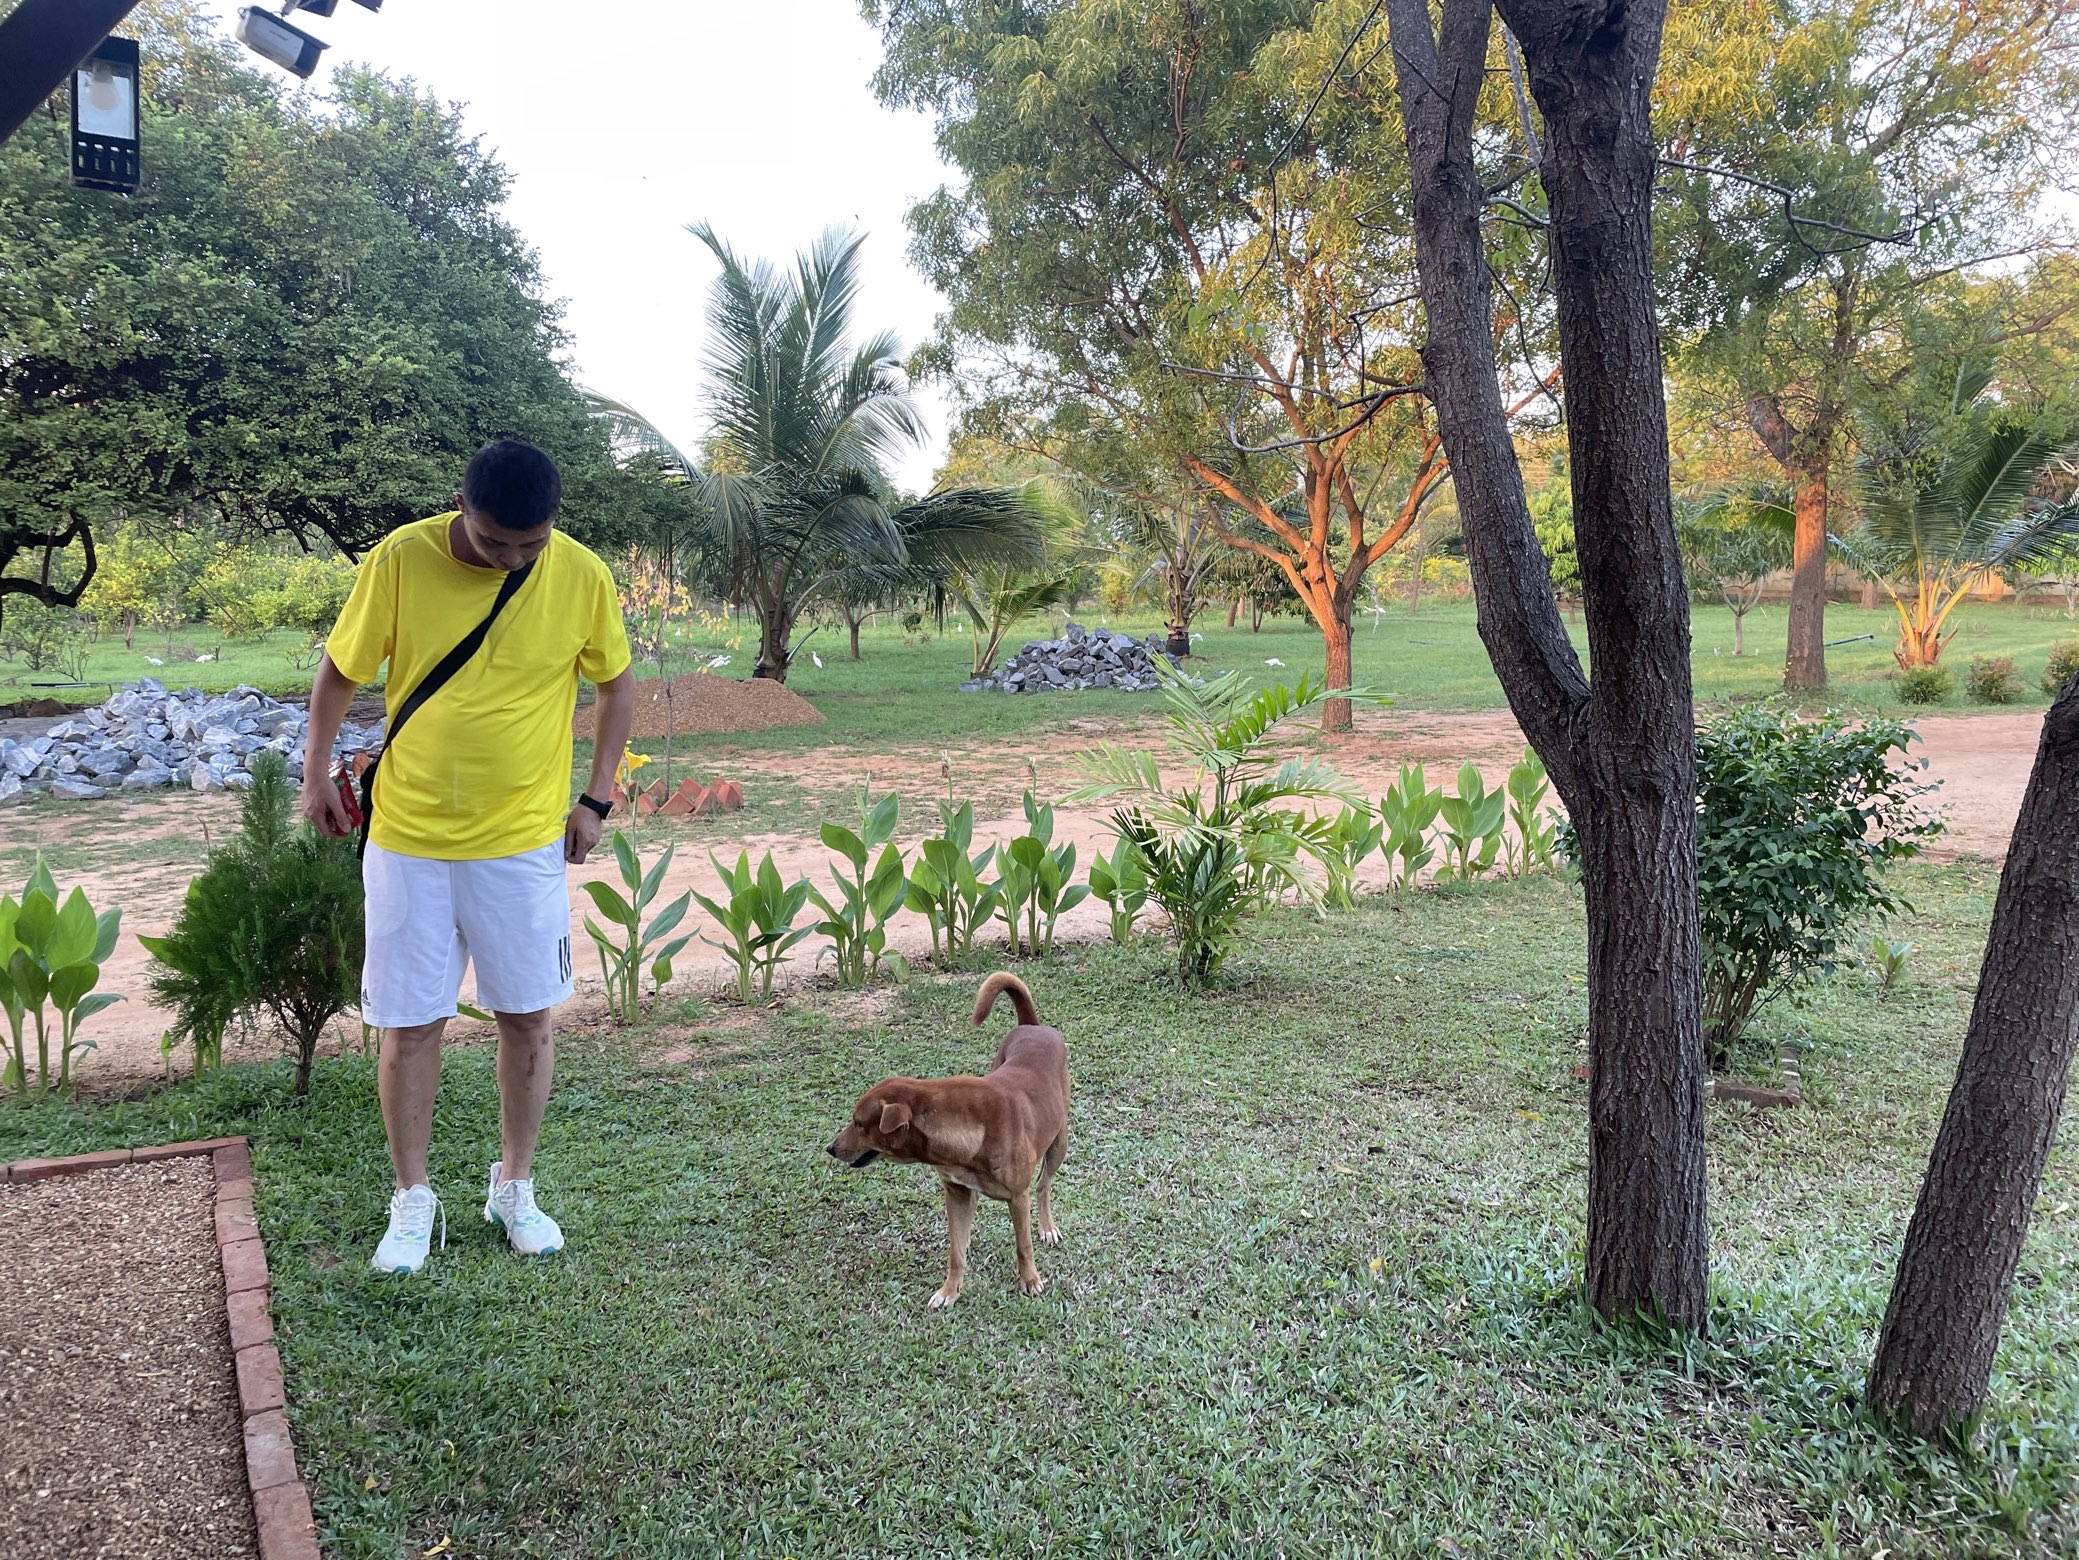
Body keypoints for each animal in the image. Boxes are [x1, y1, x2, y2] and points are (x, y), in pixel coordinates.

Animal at [823, 977, 1064, 1306]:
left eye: (859, 1124)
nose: (831, 1148)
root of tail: (1032, 1026)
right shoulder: (956, 1193)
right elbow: (956, 1250)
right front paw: (950, 1291)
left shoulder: (1017, 1197)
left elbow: (1023, 1245)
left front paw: (1030, 1280)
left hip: (1059, 1143)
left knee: (1043, 1184)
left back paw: (1047, 1227)